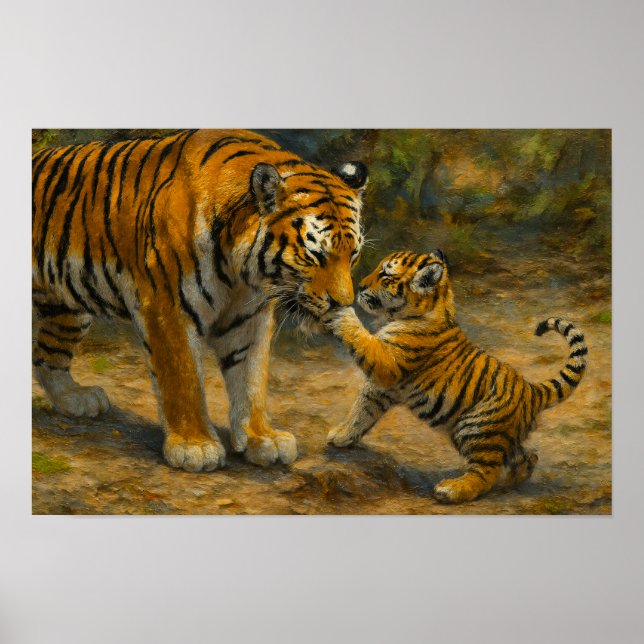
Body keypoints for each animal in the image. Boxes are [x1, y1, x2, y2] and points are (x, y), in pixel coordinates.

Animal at [32, 129, 368, 472]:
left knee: (47, 356)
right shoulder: (166, 307)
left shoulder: (249, 316)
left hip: (67, 308)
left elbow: (251, 379)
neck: (242, 272)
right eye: (316, 255)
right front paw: (195, 446)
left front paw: (262, 438)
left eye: (353, 254)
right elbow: (184, 379)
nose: (343, 303)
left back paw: (74, 399)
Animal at [323, 250, 588, 503]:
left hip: (477, 427)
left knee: (485, 472)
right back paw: (513, 480)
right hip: (501, 435)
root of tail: (532, 390)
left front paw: (340, 312)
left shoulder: (386, 363)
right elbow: (362, 412)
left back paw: (451, 490)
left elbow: (360, 336)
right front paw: (342, 436)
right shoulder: (380, 388)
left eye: (386, 275)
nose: (359, 286)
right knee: (528, 456)